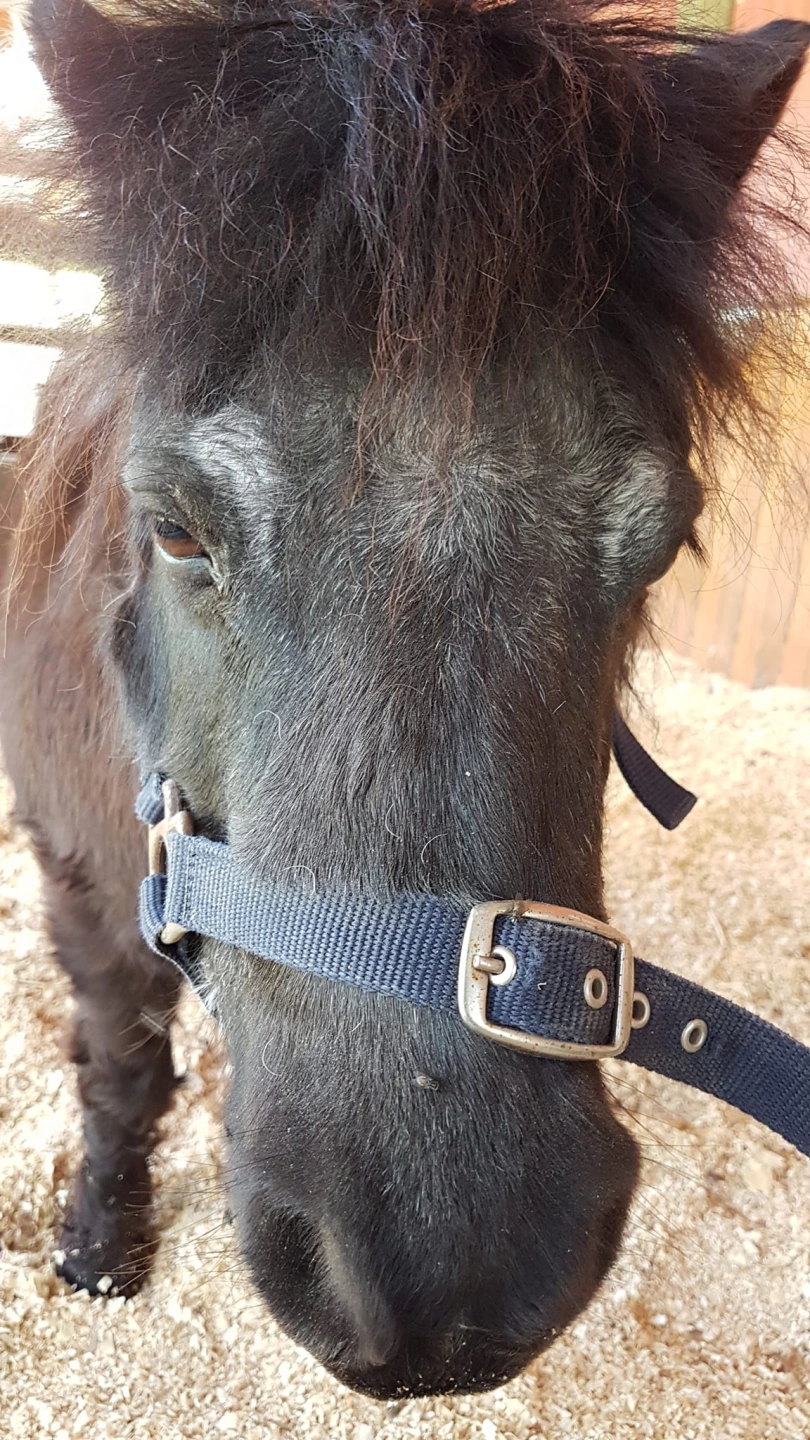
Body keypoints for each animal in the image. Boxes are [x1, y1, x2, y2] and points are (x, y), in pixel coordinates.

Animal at [2, 0, 808, 1401]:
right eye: (175, 528)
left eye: (660, 546)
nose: (448, 1276)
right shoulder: (81, 880)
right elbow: (121, 1065)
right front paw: (101, 1241)